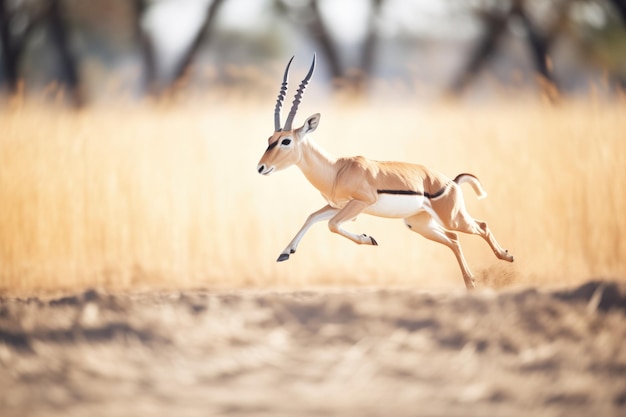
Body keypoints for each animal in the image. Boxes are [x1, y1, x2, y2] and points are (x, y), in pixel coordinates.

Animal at [256, 56, 516, 290]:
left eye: (286, 141)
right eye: (269, 139)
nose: (261, 167)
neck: (336, 170)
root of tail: (451, 182)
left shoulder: (359, 203)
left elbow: (332, 225)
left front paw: (369, 239)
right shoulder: (338, 205)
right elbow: (312, 217)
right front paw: (285, 253)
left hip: (452, 218)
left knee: (481, 226)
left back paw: (506, 257)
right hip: (420, 224)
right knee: (453, 239)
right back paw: (470, 283)